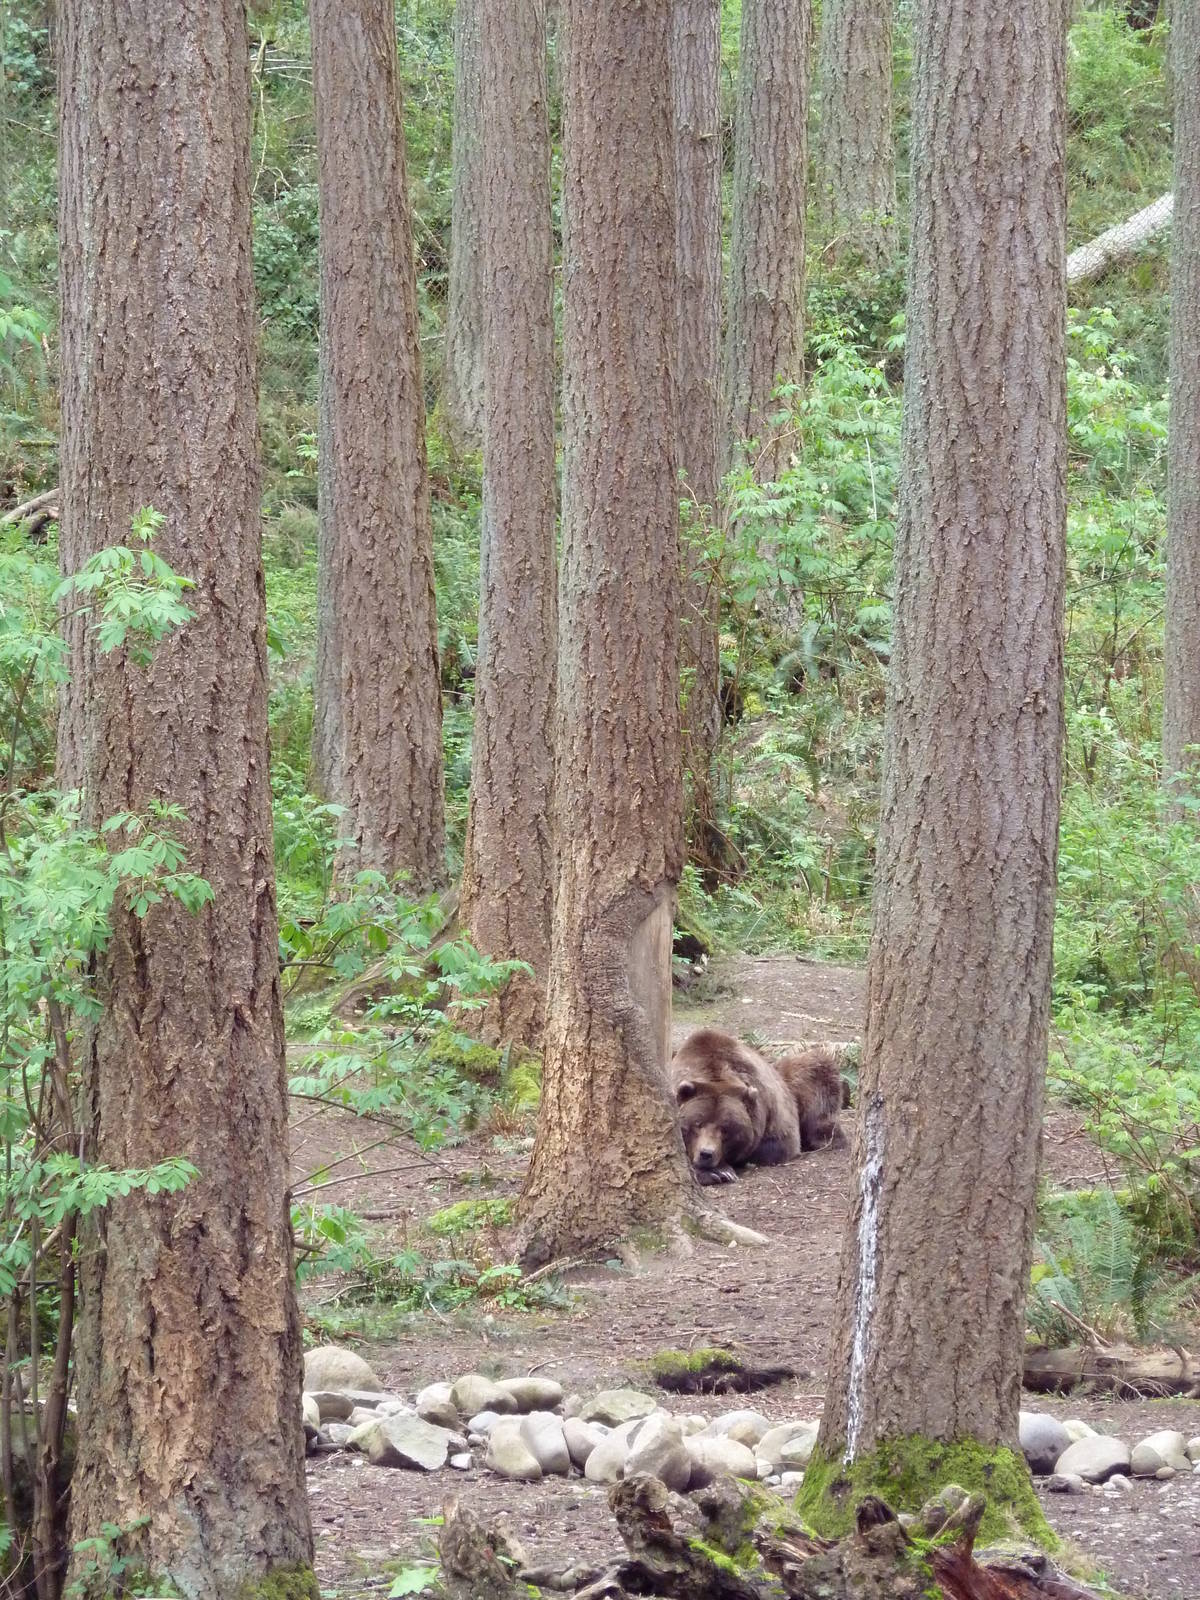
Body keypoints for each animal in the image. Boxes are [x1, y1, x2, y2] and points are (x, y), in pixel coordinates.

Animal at [669, 1027, 845, 1184]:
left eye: (725, 1129)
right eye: (697, 1124)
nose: (706, 1153)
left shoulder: (771, 1109)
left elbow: (778, 1144)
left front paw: (722, 1169)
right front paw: (717, 1172)